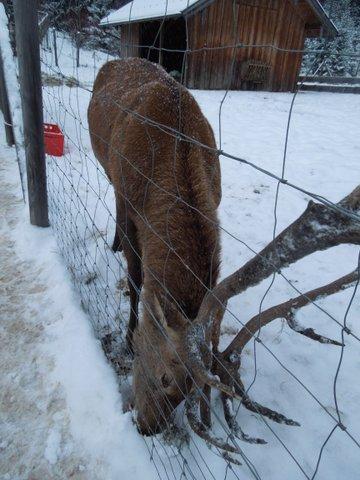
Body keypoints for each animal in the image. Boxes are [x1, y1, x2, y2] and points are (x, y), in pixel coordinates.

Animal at [88, 57, 360, 462]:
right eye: (165, 377)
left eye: (190, 390)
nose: (148, 428)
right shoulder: (126, 197)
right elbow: (136, 280)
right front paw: (128, 335)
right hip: (107, 169)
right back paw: (114, 243)